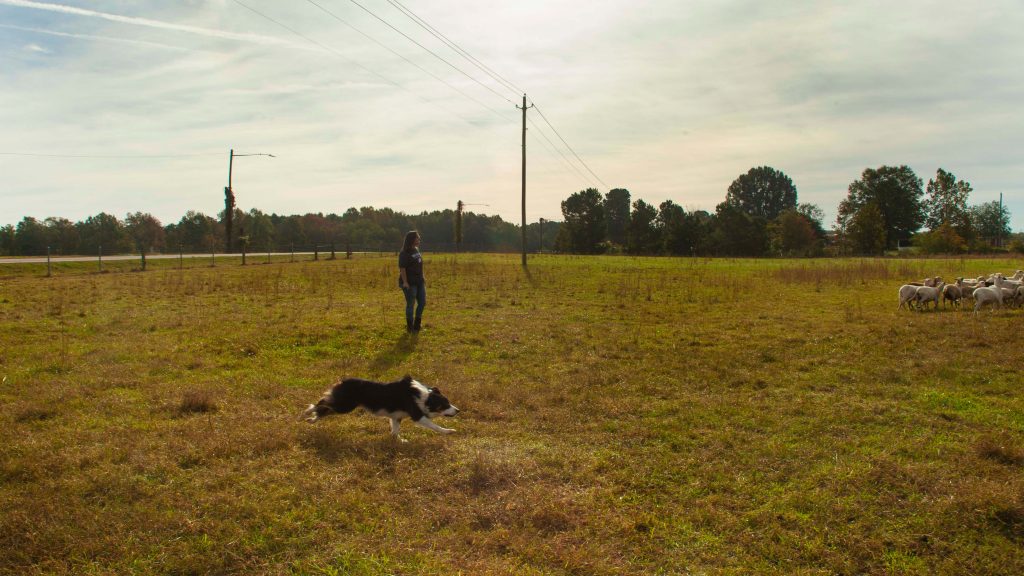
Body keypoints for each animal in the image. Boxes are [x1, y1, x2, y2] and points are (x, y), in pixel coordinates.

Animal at [299, 373, 460, 438]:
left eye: (448, 402)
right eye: (445, 404)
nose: (458, 410)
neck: (425, 397)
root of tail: (342, 381)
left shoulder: (396, 416)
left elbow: (395, 432)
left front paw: (398, 441)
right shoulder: (417, 415)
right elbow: (435, 426)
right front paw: (449, 431)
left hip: (342, 405)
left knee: (324, 408)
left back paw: (311, 419)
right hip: (344, 406)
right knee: (321, 403)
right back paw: (306, 413)